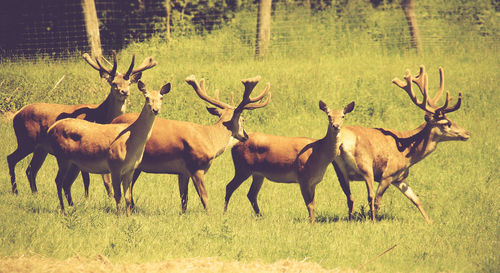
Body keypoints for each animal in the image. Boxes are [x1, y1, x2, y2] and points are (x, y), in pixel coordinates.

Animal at [4, 50, 155, 196]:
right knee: (11, 159)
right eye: (114, 83)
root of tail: (16, 115)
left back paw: (35, 194)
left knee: (31, 169)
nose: (125, 92)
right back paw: (15, 191)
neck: (100, 116)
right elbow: (87, 179)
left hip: (40, 148)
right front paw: (88, 198)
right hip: (26, 140)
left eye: (129, 83)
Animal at [45, 79, 170, 216]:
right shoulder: (115, 164)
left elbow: (127, 197)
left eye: (161, 97)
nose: (155, 110)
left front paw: (128, 216)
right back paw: (63, 210)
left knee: (66, 183)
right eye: (147, 97)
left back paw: (73, 208)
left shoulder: (131, 168)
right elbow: (118, 195)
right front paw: (119, 216)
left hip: (74, 163)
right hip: (62, 156)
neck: (132, 141)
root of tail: (51, 129)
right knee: (58, 181)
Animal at [104, 74, 270, 212]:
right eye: (243, 119)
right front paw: (209, 217)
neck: (210, 139)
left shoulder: (183, 172)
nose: (246, 136)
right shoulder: (197, 166)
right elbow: (205, 198)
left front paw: (183, 216)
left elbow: (184, 199)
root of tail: (113, 120)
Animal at [223, 99, 356, 222]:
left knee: (251, 194)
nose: (336, 126)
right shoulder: (303, 177)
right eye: (329, 115)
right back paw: (224, 213)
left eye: (343, 116)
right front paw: (312, 223)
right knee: (229, 186)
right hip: (242, 168)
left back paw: (260, 216)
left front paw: (313, 221)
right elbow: (309, 205)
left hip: (258, 174)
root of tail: (234, 145)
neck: (319, 152)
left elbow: (313, 204)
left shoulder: (313, 182)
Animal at [332, 65, 468, 222]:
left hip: (339, 171)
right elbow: (378, 201)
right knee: (370, 198)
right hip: (366, 166)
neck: (408, 153)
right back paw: (371, 221)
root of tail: (342, 143)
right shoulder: (388, 174)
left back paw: (350, 219)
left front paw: (430, 222)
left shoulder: (400, 177)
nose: (467, 133)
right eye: (446, 123)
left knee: (350, 197)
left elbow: (416, 200)